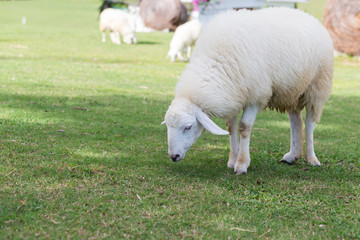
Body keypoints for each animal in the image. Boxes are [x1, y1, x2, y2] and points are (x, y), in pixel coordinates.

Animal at [162, 7, 334, 174]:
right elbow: (231, 128)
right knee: (296, 121)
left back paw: (312, 158)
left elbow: (244, 128)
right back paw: (292, 156)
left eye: (188, 127)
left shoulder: (255, 96)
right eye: (168, 126)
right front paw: (232, 160)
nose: (173, 156)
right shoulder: (233, 95)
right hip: (292, 91)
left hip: (317, 87)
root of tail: (309, 16)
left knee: (309, 123)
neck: (216, 60)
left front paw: (242, 164)